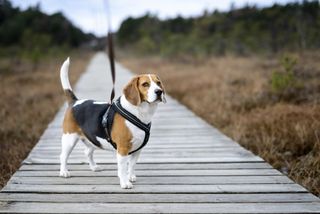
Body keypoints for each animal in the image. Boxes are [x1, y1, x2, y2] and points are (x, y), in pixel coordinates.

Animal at [58, 57, 166, 188]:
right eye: (145, 84)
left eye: (158, 83)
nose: (159, 91)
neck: (140, 112)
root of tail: (75, 102)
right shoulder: (123, 149)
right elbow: (123, 168)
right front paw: (125, 182)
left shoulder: (137, 149)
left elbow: (132, 165)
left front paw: (131, 176)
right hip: (69, 139)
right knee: (63, 156)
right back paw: (64, 172)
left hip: (93, 139)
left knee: (87, 152)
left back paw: (94, 167)